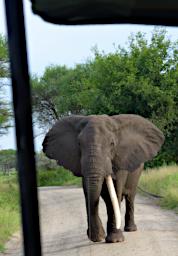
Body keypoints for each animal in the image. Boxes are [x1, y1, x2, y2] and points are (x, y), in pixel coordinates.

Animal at [42, 115, 165, 243]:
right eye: (79, 144)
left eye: (112, 143)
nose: (94, 237)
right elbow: (88, 192)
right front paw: (98, 237)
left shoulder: (119, 160)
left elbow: (115, 189)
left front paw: (115, 240)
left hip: (137, 172)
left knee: (130, 197)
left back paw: (130, 229)